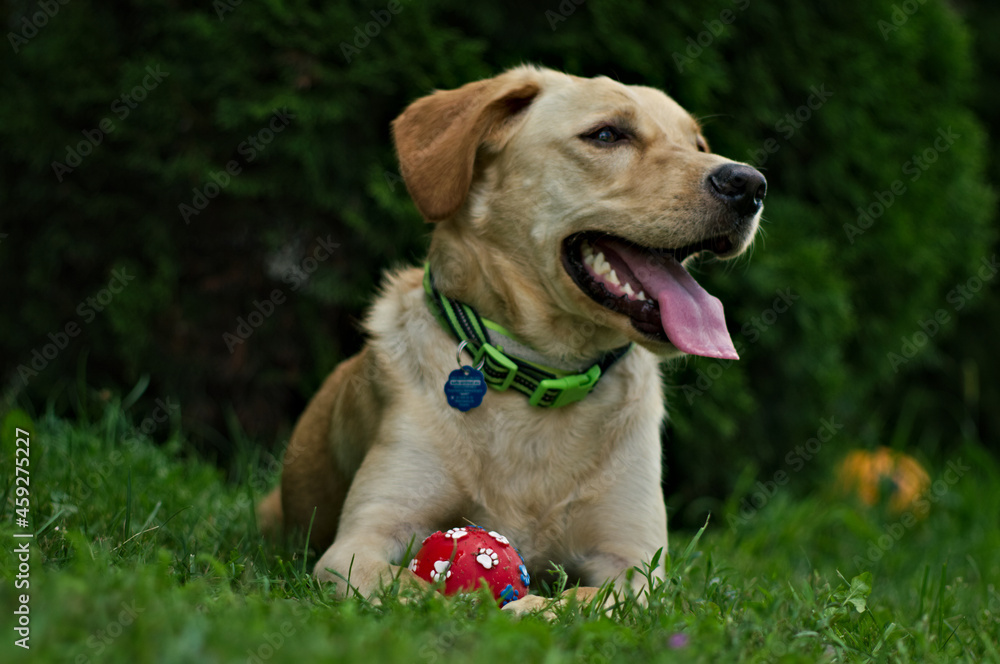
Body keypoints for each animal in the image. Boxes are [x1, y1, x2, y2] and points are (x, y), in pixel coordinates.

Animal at [258, 65, 764, 608]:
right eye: (607, 135)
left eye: (698, 143)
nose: (749, 183)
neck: (542, 374)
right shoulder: (358, 545)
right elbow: (411, 585)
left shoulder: (636, 568)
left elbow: (582, 600)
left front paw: (528, 607)